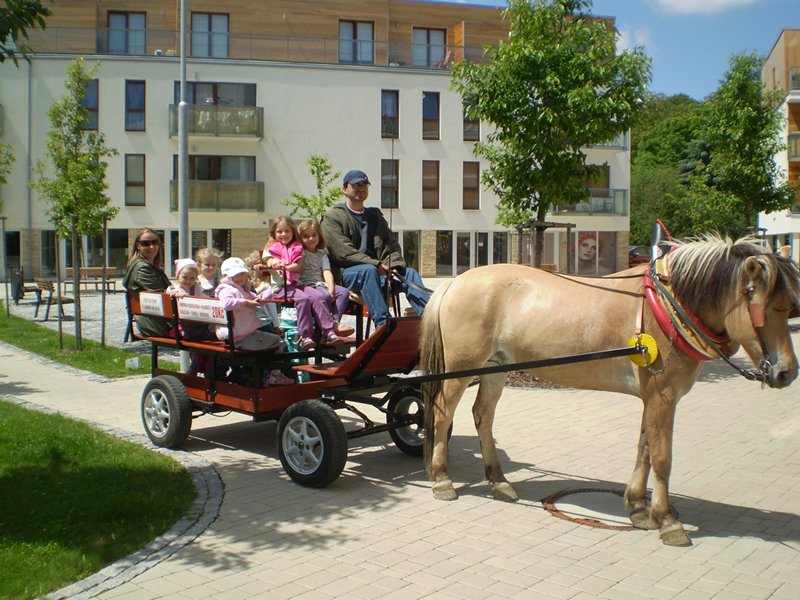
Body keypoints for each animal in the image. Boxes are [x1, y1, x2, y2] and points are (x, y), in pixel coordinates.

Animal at [420, 235, 800, 546]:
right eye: (763, 307)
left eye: (789, 307)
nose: (786, 372)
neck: (664, 307)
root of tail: (454, 282)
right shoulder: (663, 397)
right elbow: (662, 457)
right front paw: (668, 521)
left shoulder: (654, 398)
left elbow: (645, 448)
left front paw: (639, 507)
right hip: (461, 370)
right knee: (443, 414)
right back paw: (441, 479)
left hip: (495, 369)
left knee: (482, 416)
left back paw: (498, 481)